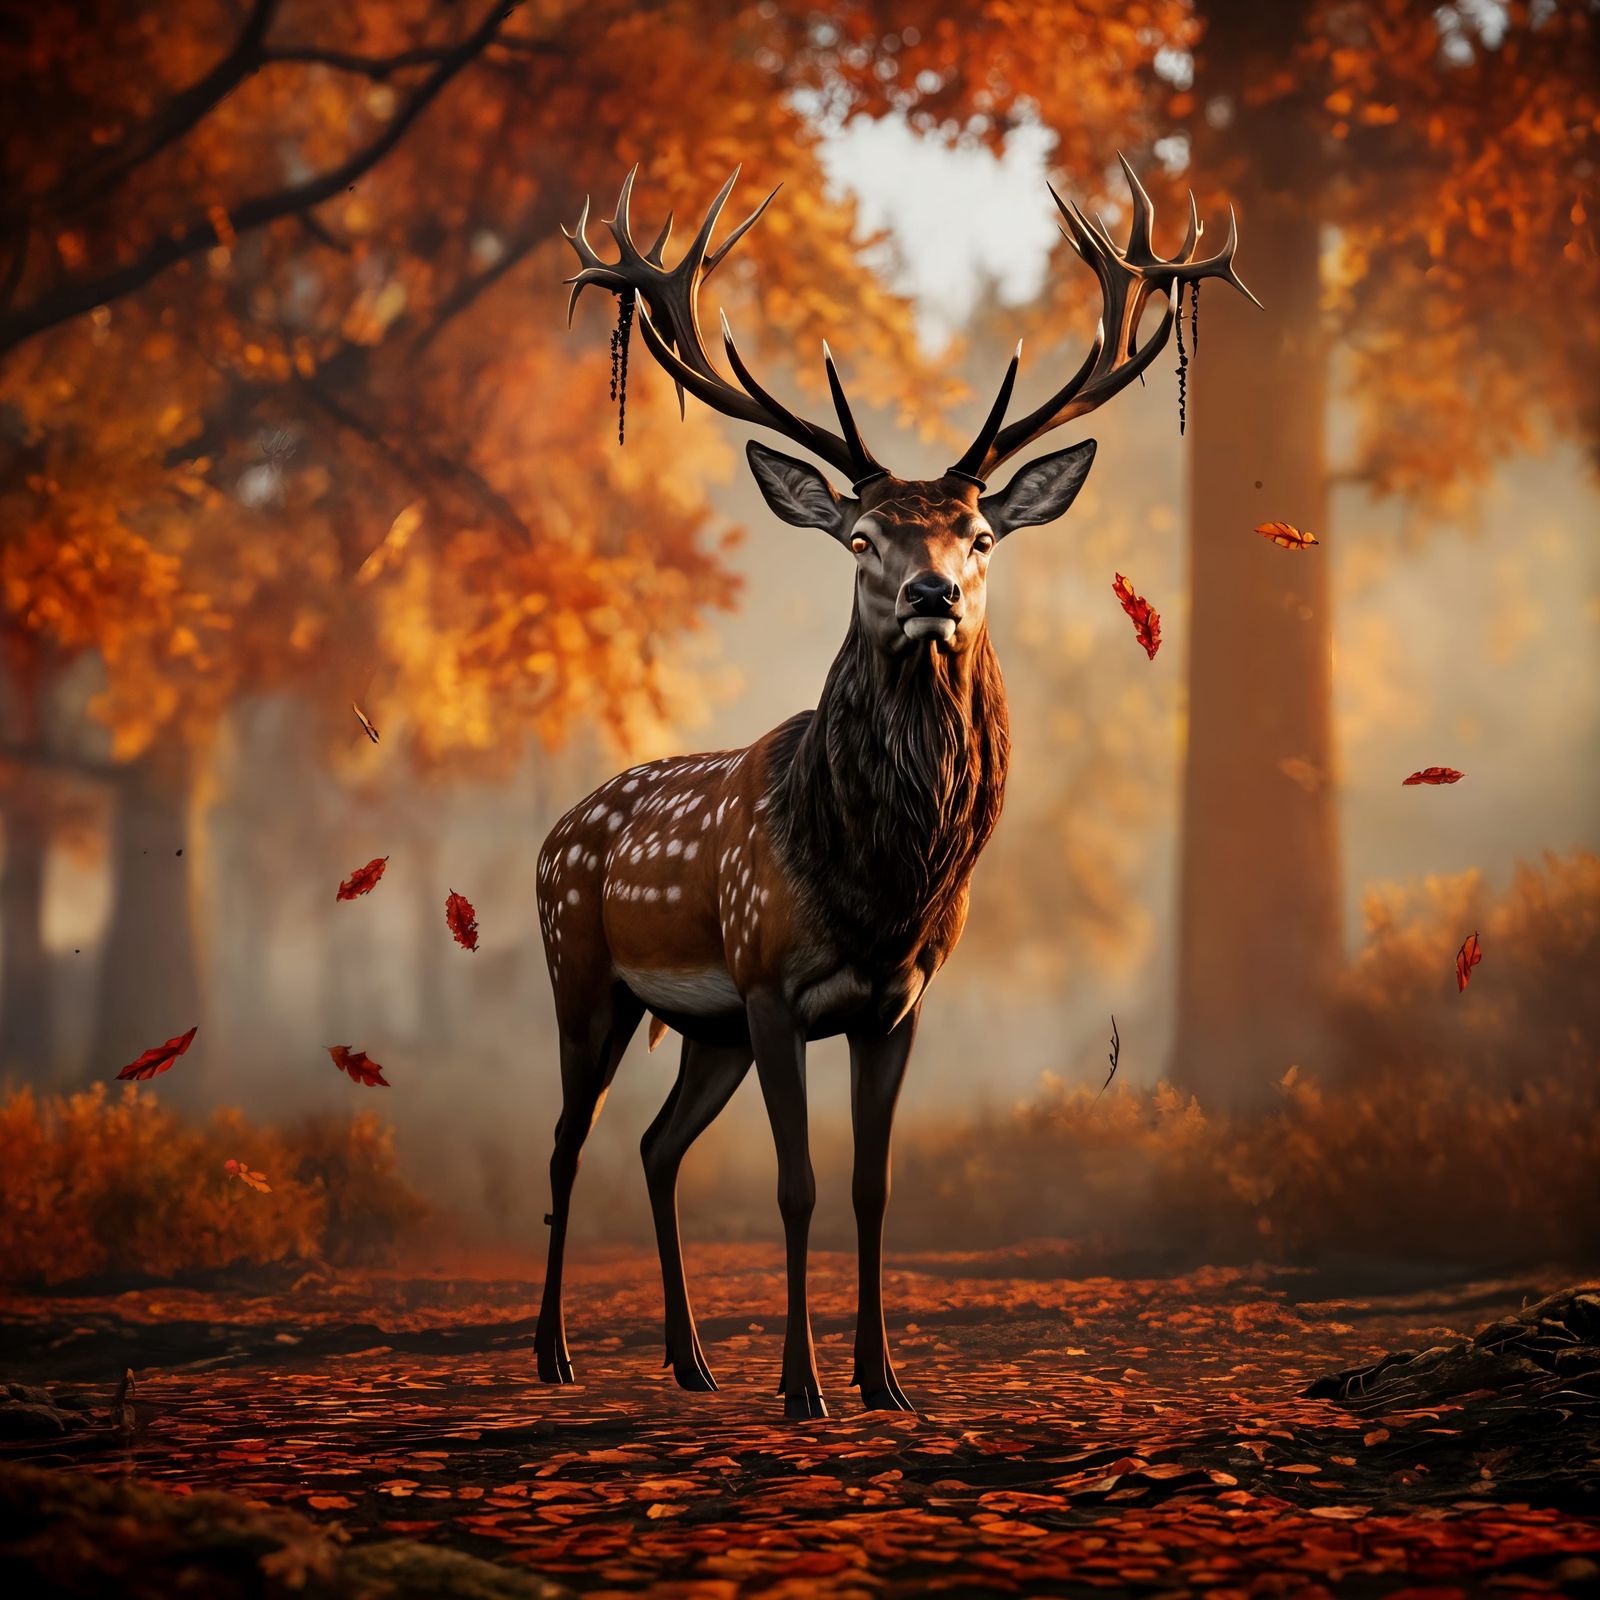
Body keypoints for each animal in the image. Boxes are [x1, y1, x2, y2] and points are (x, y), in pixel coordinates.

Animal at [535, 158, 1254, 1418]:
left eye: (979, 534)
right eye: (861, 535)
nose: (932, 593)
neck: (879, 885)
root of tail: (548, 836)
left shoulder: (896, 1000)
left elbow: (872, 1187)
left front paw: (884, 1381)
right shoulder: (771, 978)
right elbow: (798, 1183)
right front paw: (803, 1388)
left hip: (704, 1026)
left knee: (656, 1145)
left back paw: (689, 1359)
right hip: (585, 969)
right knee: (569, 1138)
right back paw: (555, 1353)